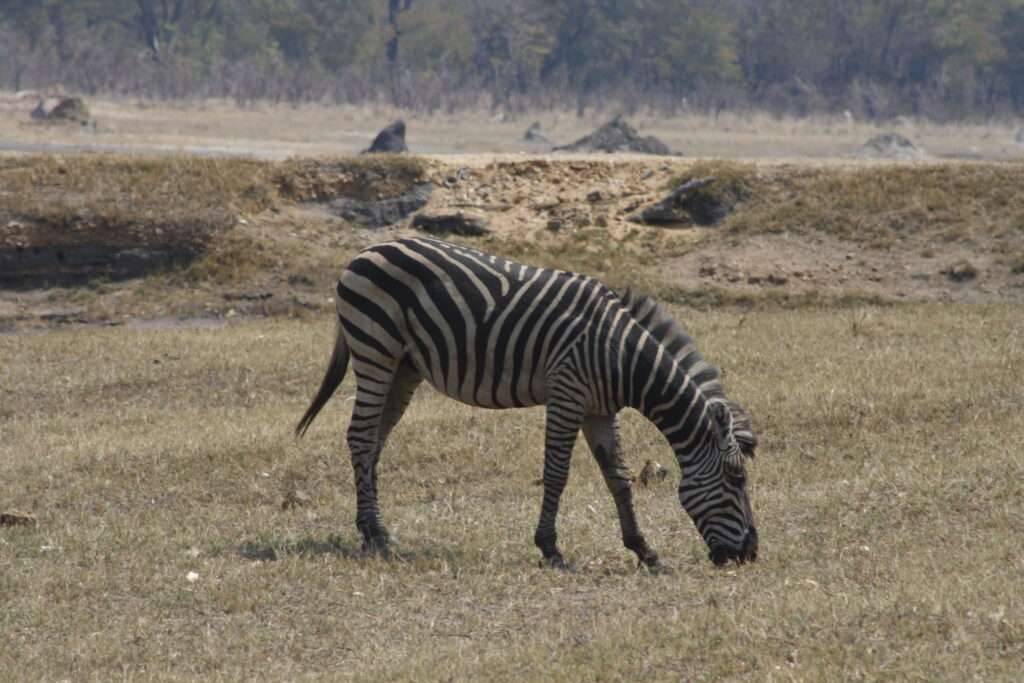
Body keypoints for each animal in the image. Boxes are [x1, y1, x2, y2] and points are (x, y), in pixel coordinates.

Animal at [292, 237, 757, 569]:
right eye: (736, 478)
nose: (750, 555)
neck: (621, 355)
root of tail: (366, 250)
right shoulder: (567, 392)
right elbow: (556, 474)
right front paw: (550, 549)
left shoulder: (598, 409)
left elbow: (619, 478)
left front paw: (644, 550)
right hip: (375, 350)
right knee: (359, 437)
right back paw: (375, 533)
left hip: (404, 367)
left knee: (373, 441)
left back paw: (373, 532)